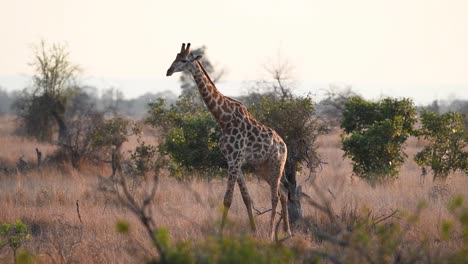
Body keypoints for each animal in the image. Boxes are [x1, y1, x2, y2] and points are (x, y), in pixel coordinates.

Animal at [166, 42, 290, 239]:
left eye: (184, 60)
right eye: (175, 57)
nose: (168, 71)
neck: (223, 119)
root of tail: (284, 145)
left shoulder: (235, 160)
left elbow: (227, 199)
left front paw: (219, 233)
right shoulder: (233, 161)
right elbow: (246, 198)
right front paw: (253, 231)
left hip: (276, 163)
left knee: (276, 196)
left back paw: (271, 234)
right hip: (262, 167)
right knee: (284, 192)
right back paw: (287, 232)